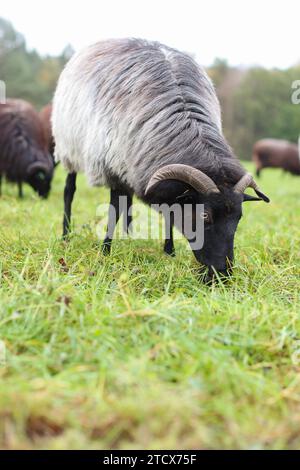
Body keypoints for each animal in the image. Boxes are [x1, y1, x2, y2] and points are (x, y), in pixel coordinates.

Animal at [53, 38, 270, 282]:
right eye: (204, 215)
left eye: (239, 217)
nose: (222, 274)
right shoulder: (112, 169)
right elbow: (113, 211)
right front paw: (105, 251)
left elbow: (167, 212)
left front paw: (169, 251)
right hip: (68, 148)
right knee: (69, 191)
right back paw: (66, 235)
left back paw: (129, 236)